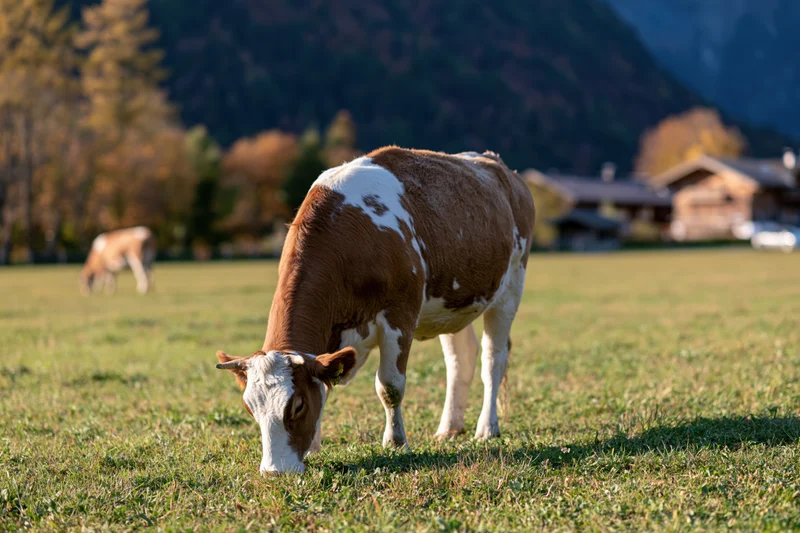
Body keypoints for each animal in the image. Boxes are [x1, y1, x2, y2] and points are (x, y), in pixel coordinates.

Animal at [215, 147, 535, 474]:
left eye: (297, 405)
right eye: (250, 408)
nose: (275, 470)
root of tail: (496, 164)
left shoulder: (400, 316)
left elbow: (389, 386)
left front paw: (396, 442)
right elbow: (325, 384)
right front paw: (315, 446)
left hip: (510, 287)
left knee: (493, 359)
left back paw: (487, 428)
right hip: (452, 304)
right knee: (461, 359)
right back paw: (449, 428)